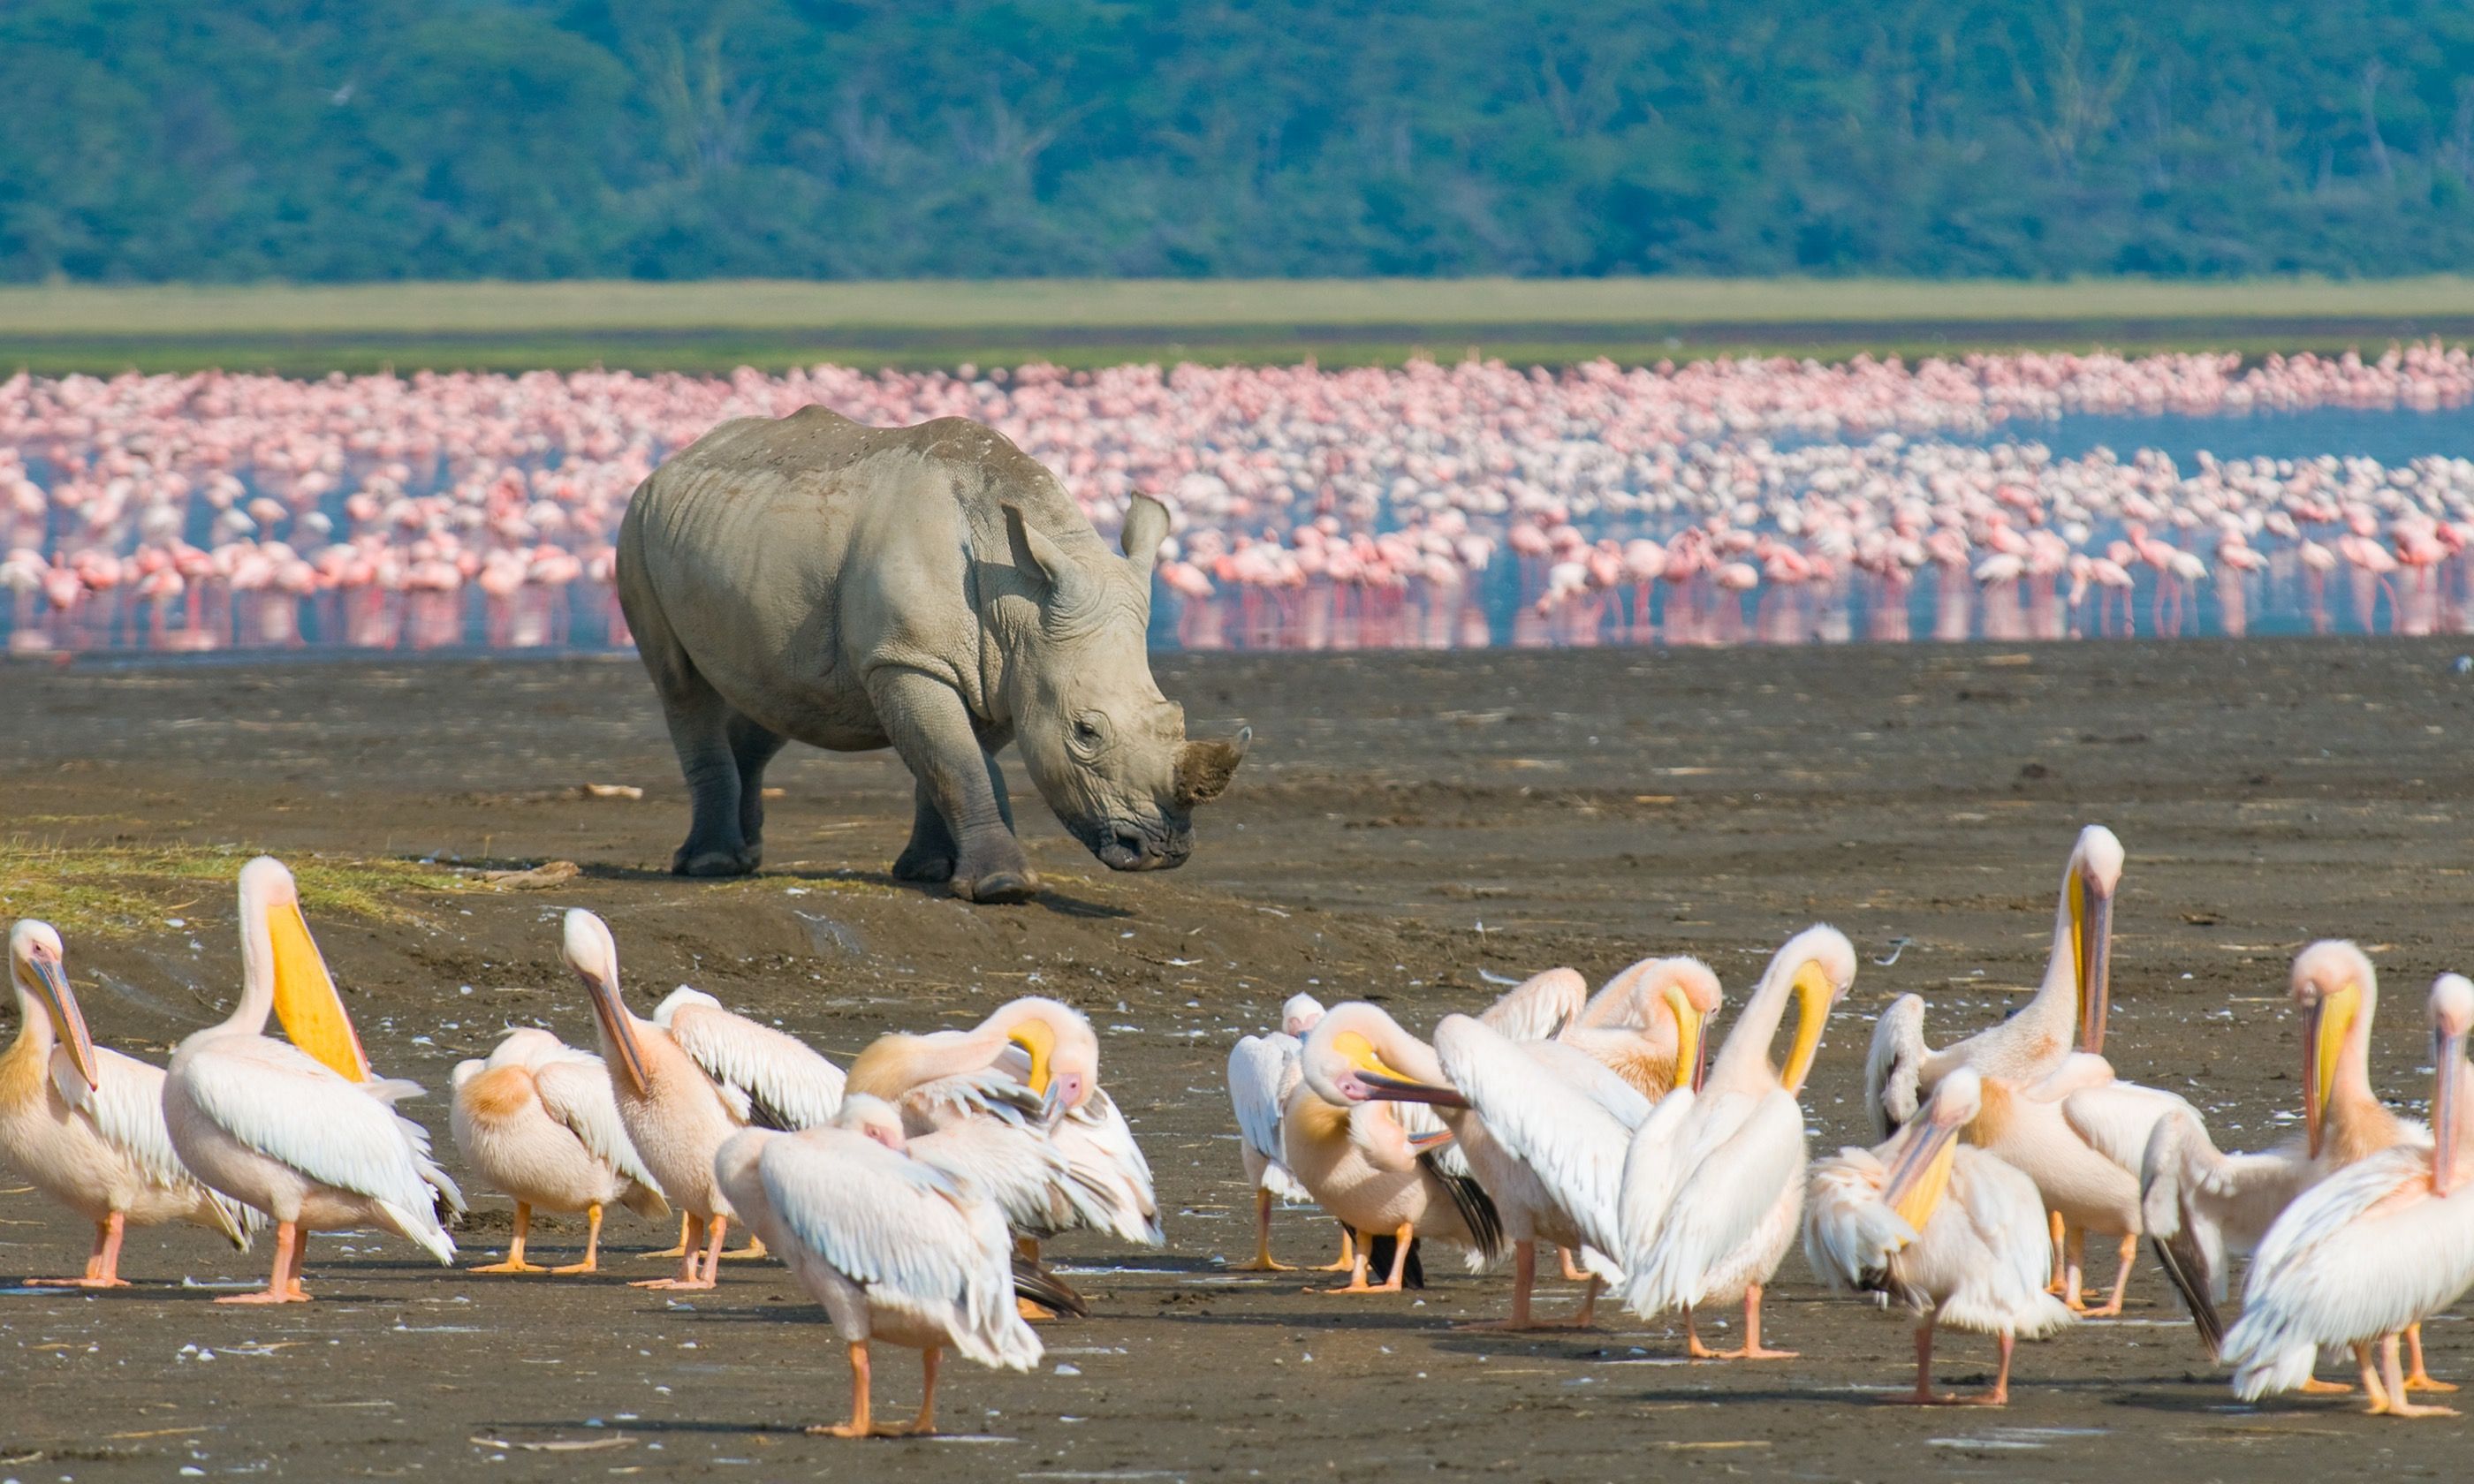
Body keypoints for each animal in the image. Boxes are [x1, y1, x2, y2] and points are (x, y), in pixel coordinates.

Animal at [614, 407, 1248, 903]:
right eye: (1085, 732)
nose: (1162, 850)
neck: (1019, 596)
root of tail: (678, 459)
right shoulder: (908, 657)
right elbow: (957, 760)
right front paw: (1002, 888)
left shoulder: (1007, 670)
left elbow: (955, 760)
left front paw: (930, 872)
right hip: (636, 526)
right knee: (682, 686)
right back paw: (711, 866)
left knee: (774, 697)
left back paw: (745, 860)